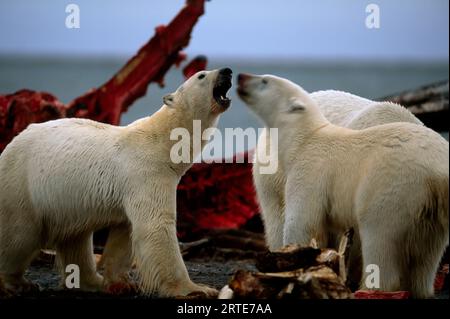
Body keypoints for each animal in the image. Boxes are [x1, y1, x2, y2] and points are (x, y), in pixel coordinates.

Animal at [0, 67, 232, 298]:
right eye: (202, 75)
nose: (227, 71)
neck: (161, 142)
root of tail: (10, 145)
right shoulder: (146, 172)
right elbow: (155, 225)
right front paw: (197, 289)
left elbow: (124, 232)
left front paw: (120, 283)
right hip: (22, 186)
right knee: (19, 236)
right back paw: (20, 283)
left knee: (76, 238)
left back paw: (92, 280)